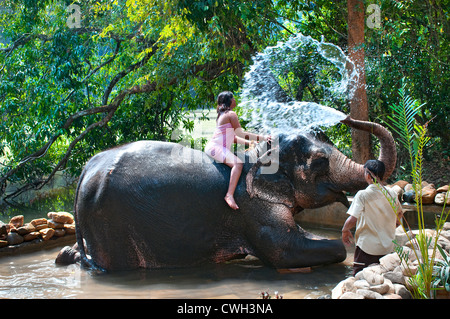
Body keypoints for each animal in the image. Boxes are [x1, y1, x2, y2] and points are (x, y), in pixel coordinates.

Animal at [57, 116, 398, 272]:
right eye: (319, 162)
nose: (345, 116)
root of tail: (87, 168)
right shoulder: (252, 208)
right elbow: (285, 251)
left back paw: (65, 255)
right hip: (109, 223)